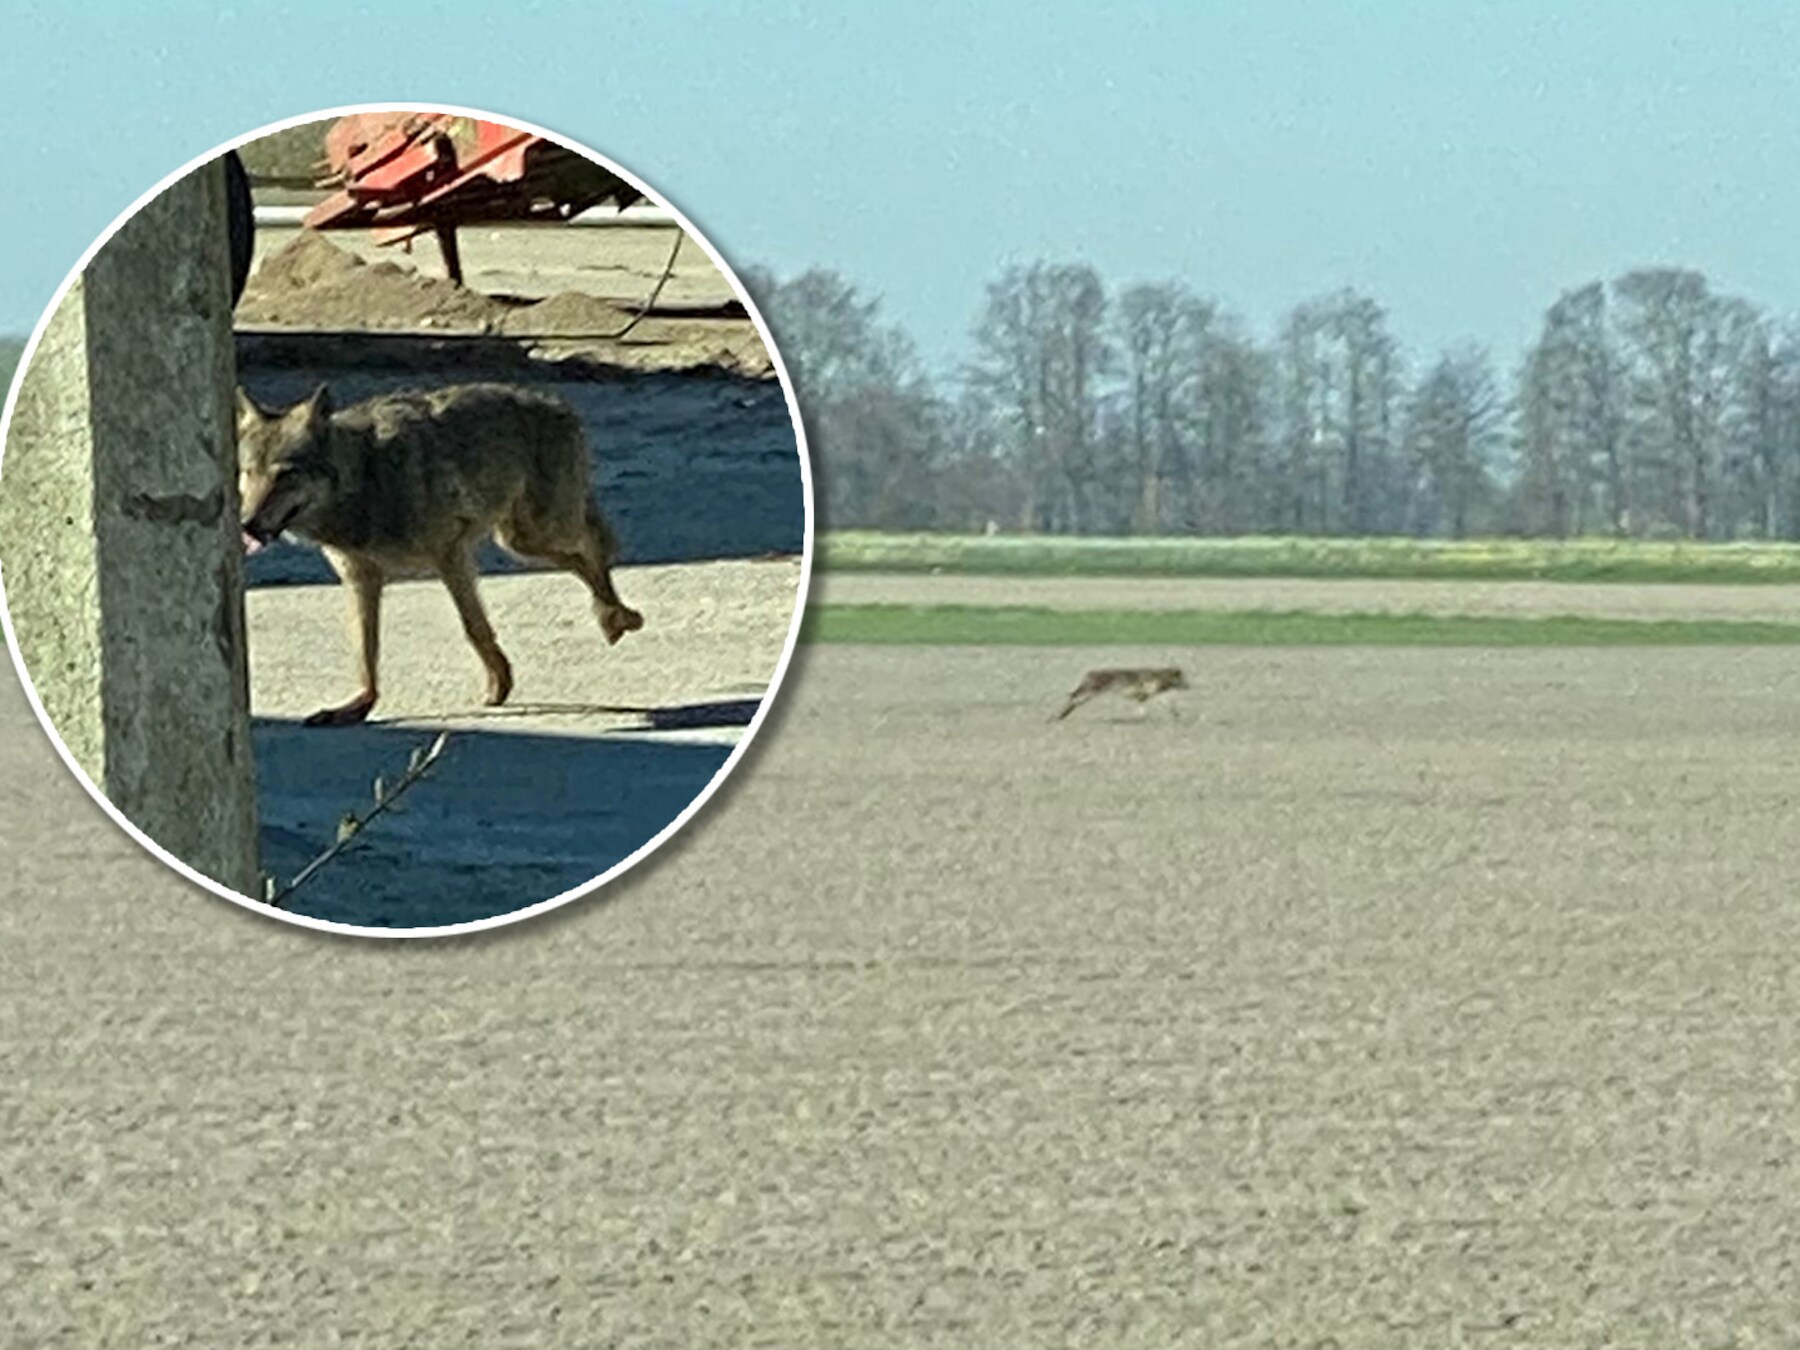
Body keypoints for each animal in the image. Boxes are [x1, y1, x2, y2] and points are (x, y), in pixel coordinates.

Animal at [236, 381, 644, 727]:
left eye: (285, 475)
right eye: (248, 473)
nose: (246, 524)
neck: (368, 478)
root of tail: (557, 403)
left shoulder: (451, 555)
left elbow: (474, 628)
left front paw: (499, 685)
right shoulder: (361, 579)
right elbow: (365, 650)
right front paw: (358, 705)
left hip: (539, 533)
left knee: (594, 547)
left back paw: (616, 615)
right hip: (521, 543)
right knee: (583, 558)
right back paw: (611, 614)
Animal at [1053, 666, 1189, 721]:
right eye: (1183, 679)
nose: (1189, 686)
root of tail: (1090, 674)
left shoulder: (1145, 695)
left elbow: (1165, 703)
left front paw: (1176, 713)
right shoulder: (1143, 693)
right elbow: (1143, 709)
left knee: (1075, 698)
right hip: (1090, 690)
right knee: (1074, 696)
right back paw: (1058, 715)